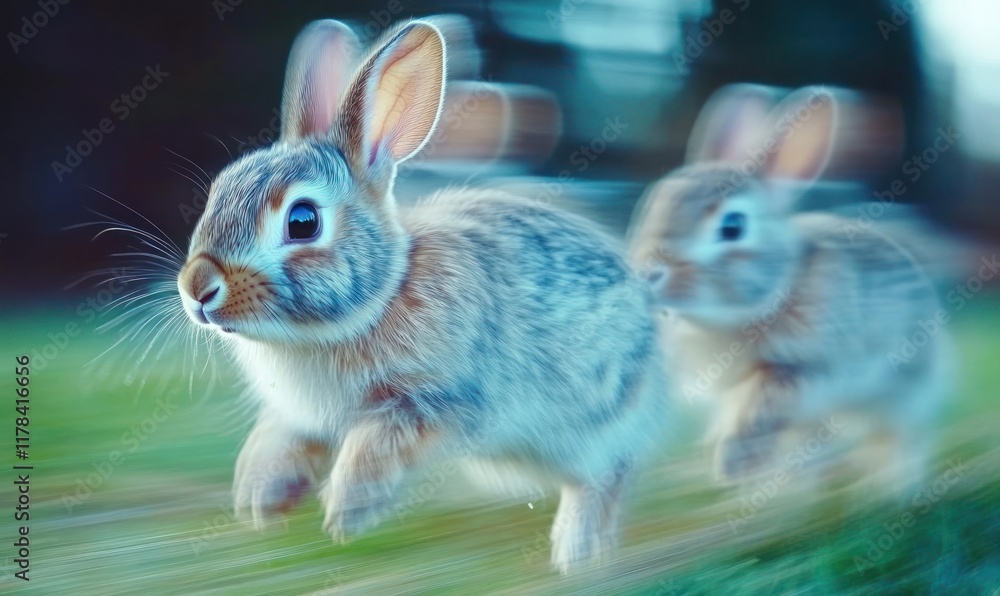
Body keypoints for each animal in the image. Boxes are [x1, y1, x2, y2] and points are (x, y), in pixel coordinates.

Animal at [175, 19, 669, 574]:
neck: (379, 297)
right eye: (218, 190)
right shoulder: (306, 417)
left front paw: (348, 511)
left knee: (609, 475)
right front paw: (260, 499)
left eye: (303, 221)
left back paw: (577, 555)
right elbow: (282, 438)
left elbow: (377, 446)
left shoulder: (439, 403)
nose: (197, 289)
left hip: (601, 421)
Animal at [627, 84, 951, 490]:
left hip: (901, 394)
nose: (648, 272)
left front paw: (733, 463)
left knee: (900, 438)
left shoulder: (805, 369)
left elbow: (761, 404)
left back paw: (892, 486)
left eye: (732, 227)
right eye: (656, 201)